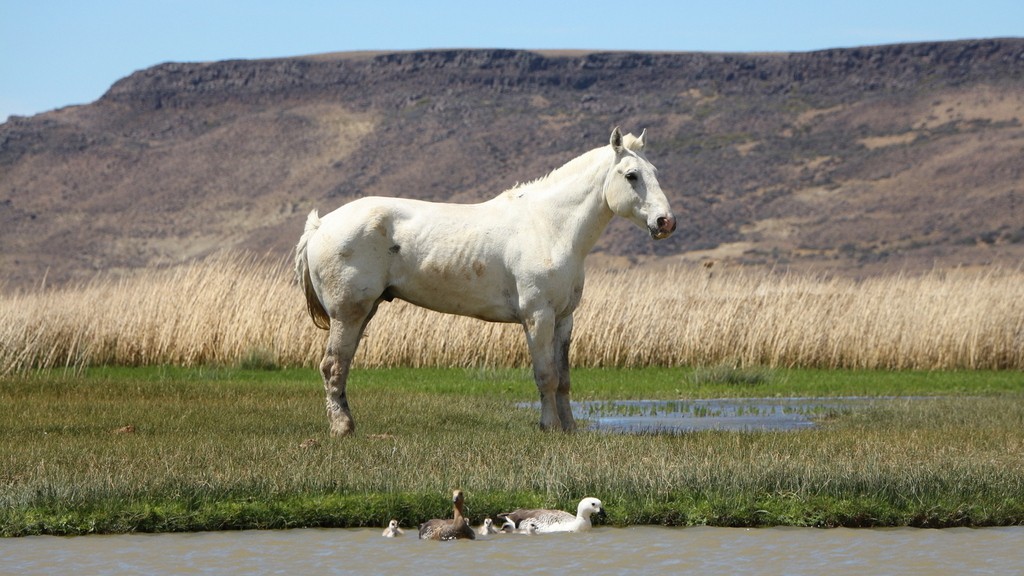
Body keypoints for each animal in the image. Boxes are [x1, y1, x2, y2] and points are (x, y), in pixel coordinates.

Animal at [292, 126, 675, 434]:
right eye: (631, 175)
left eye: (655, 172)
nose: (665, 222)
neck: (550, 226)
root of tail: (320, 226)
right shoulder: (538, 317)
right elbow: (546, 375)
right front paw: (549, 427)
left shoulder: (564, 319)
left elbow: (564, 379)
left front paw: (569, 428)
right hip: (348, 313)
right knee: (332, 367)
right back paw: (342, 428)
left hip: (362, 313)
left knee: (340, 367)